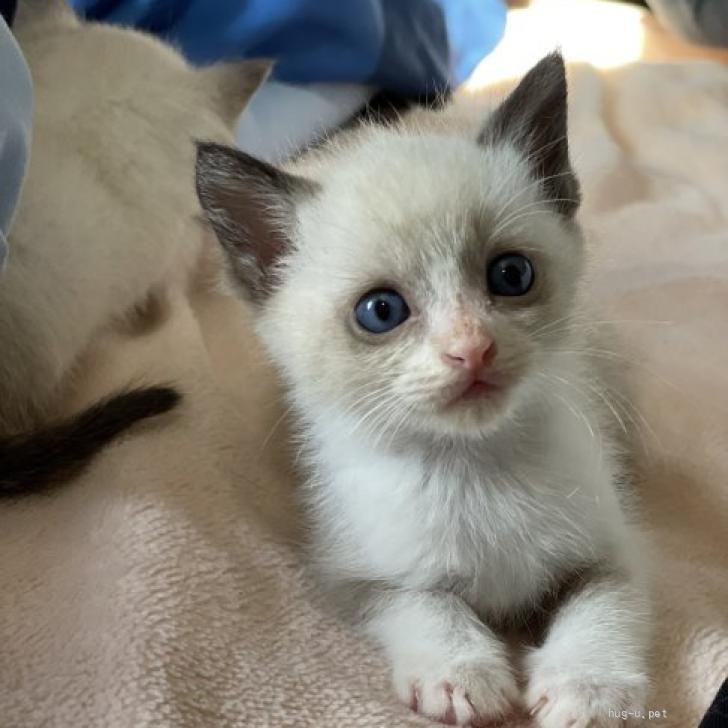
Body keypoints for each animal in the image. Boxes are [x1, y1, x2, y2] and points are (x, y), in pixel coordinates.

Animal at [198, 52, 648, 728]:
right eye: (381, 311)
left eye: (511, 274)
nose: (473, 348)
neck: (473, 468)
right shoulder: (354, 572)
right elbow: (420, 602)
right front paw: (459, 671)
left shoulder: (619, 545)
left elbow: (603, 602)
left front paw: (589, 687)